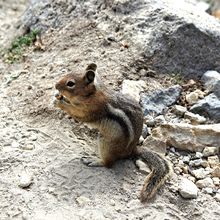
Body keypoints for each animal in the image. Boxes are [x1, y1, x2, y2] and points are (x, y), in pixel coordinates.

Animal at [54, 62, 171, 202]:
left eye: (70, 83)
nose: (55, 85)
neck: (92, 93)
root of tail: (131, 151)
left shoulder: (91, 110)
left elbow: (77, 114)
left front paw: (59, 102)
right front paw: (58, 97)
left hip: (106, 142)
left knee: (108, 164)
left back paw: (94, 160)